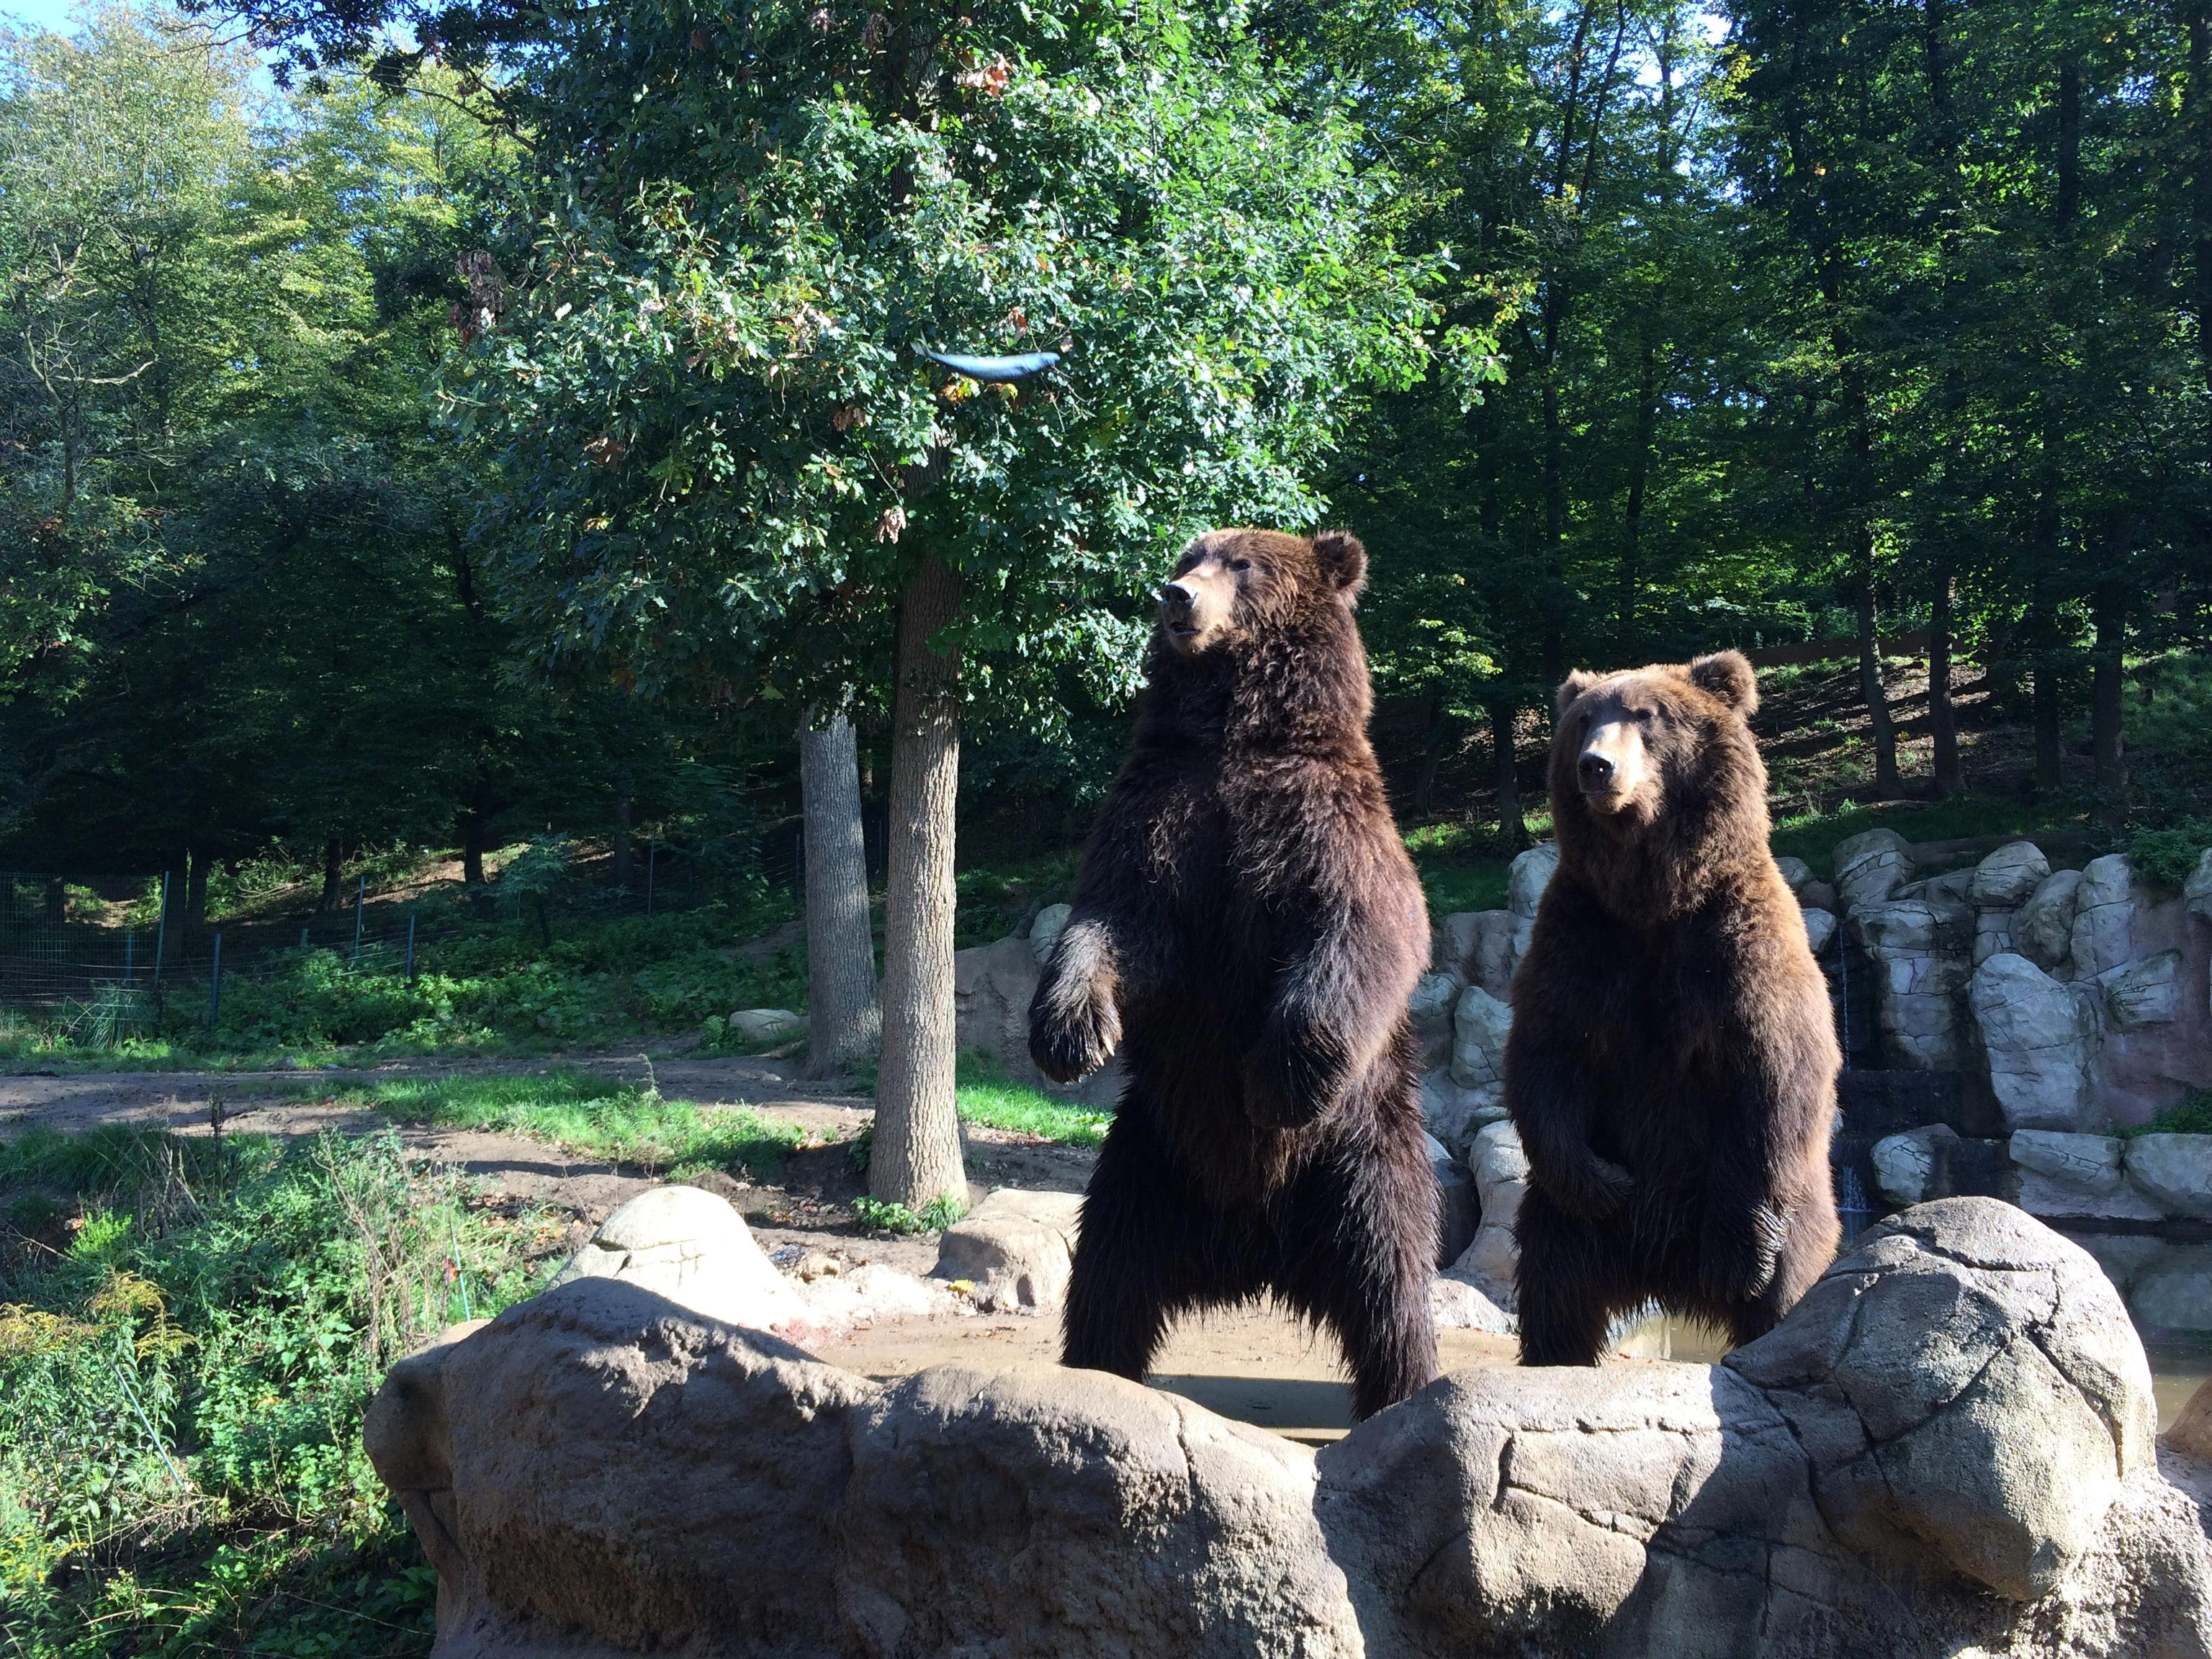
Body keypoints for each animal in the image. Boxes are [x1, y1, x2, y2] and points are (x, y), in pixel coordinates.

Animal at [1030, 529, 1442, 1416]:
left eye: (1243, 563)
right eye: (1190, 555)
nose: (1175, 596)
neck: (1235, 736)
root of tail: (1255, 1257)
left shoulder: (1319, 820)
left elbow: (1358, 933)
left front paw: (1279, 1079)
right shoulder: (1162, 817)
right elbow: (1114, 925)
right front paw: (1071, 1033)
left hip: (1358, 1154)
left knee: (1389, 1280)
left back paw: (1402, 1395)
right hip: (1148, 1157)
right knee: (1110, 1275)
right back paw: (1096, 1375)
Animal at [1503, 655, 1849, 1371]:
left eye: (1646, 716)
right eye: (1585, 719)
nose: (1596, 767)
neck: (1653, 896)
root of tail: (1664, 1276)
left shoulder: (1734, 941)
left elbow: (1777, 1070)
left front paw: (1745, 1255)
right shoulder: (1582, 936)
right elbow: (1548, 1052)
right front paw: (1606, 1180)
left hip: (1794, 1209)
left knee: (1787, 1292)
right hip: (1569, 1230)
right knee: (1554, 1287)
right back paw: (1558, 1355)